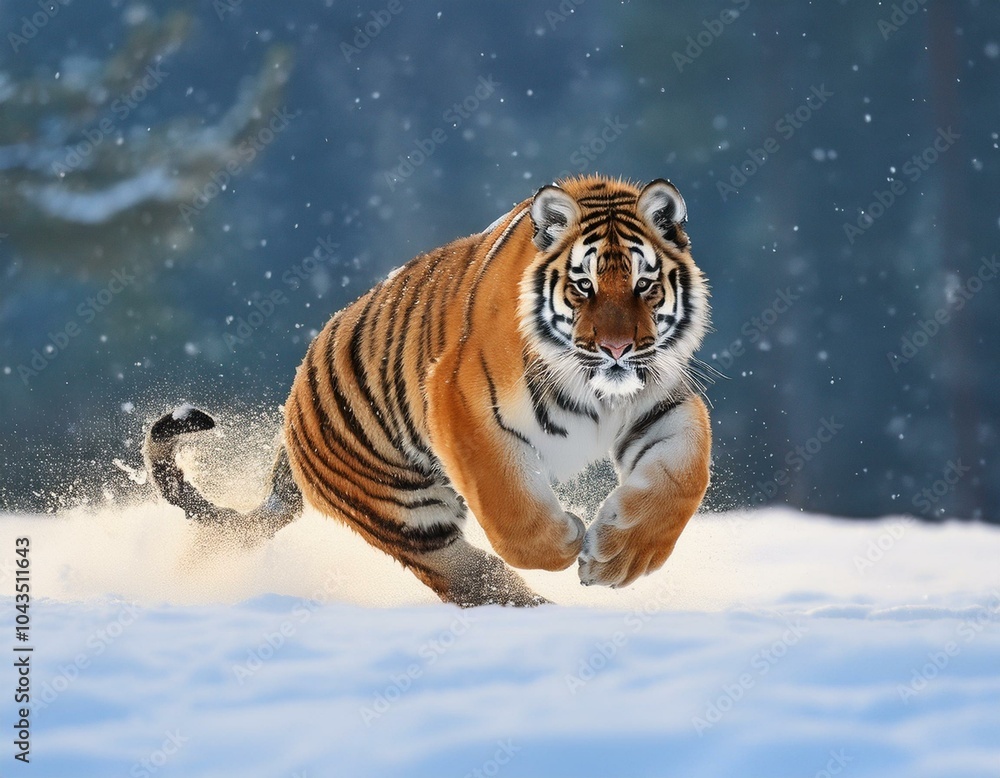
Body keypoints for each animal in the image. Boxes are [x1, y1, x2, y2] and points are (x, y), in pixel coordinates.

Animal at [146, 175, 712, 607]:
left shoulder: (662, 404)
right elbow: (511, 512)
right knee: (468, 578)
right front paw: (568, 539)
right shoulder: (460, 403)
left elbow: (683, 476)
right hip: (405, 515)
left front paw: (619, 558)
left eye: (644, 285)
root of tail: (293, 401)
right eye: (583, 286)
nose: (618, 349)